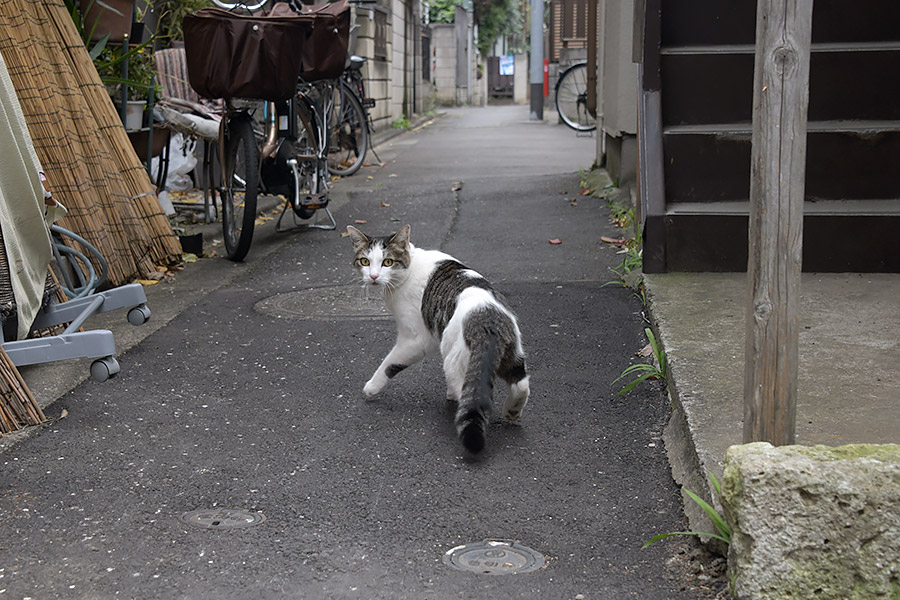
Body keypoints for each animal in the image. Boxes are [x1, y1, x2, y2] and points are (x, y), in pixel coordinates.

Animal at [342, 223, 528, 452]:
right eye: (365, 261)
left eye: (387, 262)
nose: (374, 277)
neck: (409, 267)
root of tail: (487, 319)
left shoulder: (415, 339)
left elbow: (389, 363)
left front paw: (371, 387)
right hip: (512, 354)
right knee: (521, 384)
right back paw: (512, 411)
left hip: (457, 361)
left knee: (470, 395)